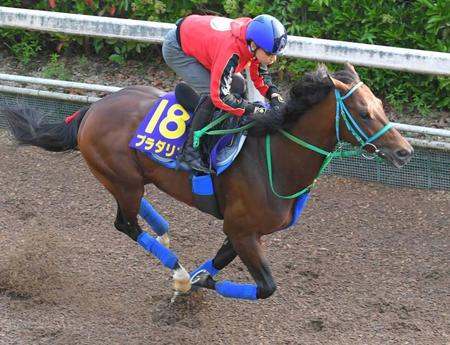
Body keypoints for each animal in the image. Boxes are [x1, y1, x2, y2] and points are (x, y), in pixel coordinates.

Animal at [3, 63, 414, 300]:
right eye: (363, 113)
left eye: (380, 105)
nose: (404, 151)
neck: (276, 156)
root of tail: (91, 110)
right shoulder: (241, 229)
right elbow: (266, 287)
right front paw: (191, 281)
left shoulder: (245, 230)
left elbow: (221, 258)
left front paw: (200, 277)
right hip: (123, 179)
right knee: (124, 223)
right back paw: (176, 266)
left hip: (132, 180)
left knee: (135, 214)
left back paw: (162, 228)